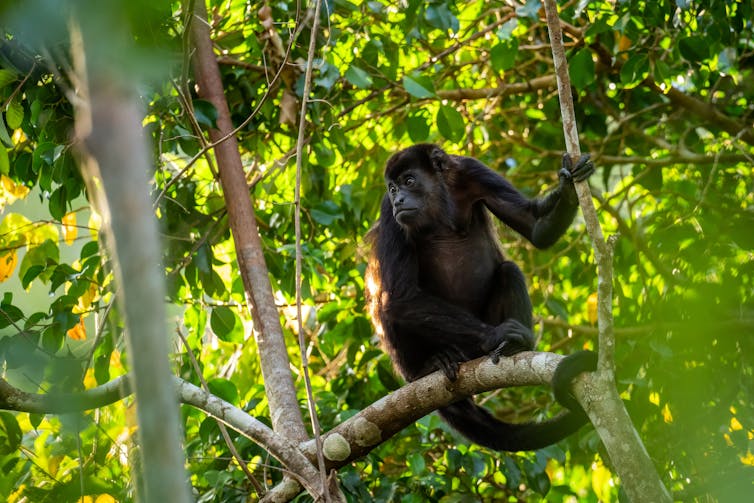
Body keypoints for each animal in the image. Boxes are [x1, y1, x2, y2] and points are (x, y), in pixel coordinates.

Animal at [368, 143, 596, 452]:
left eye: (409, 181)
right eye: (391, 189)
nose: (399, 199)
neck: (438, 204)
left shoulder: (473, 172)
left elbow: (534, 228)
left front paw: (569, 188)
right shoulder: (387, 212)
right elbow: (399, 296)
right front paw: (498, 334)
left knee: (509, 270)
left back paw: (514, 348)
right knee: (387, 306)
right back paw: (430, 365)